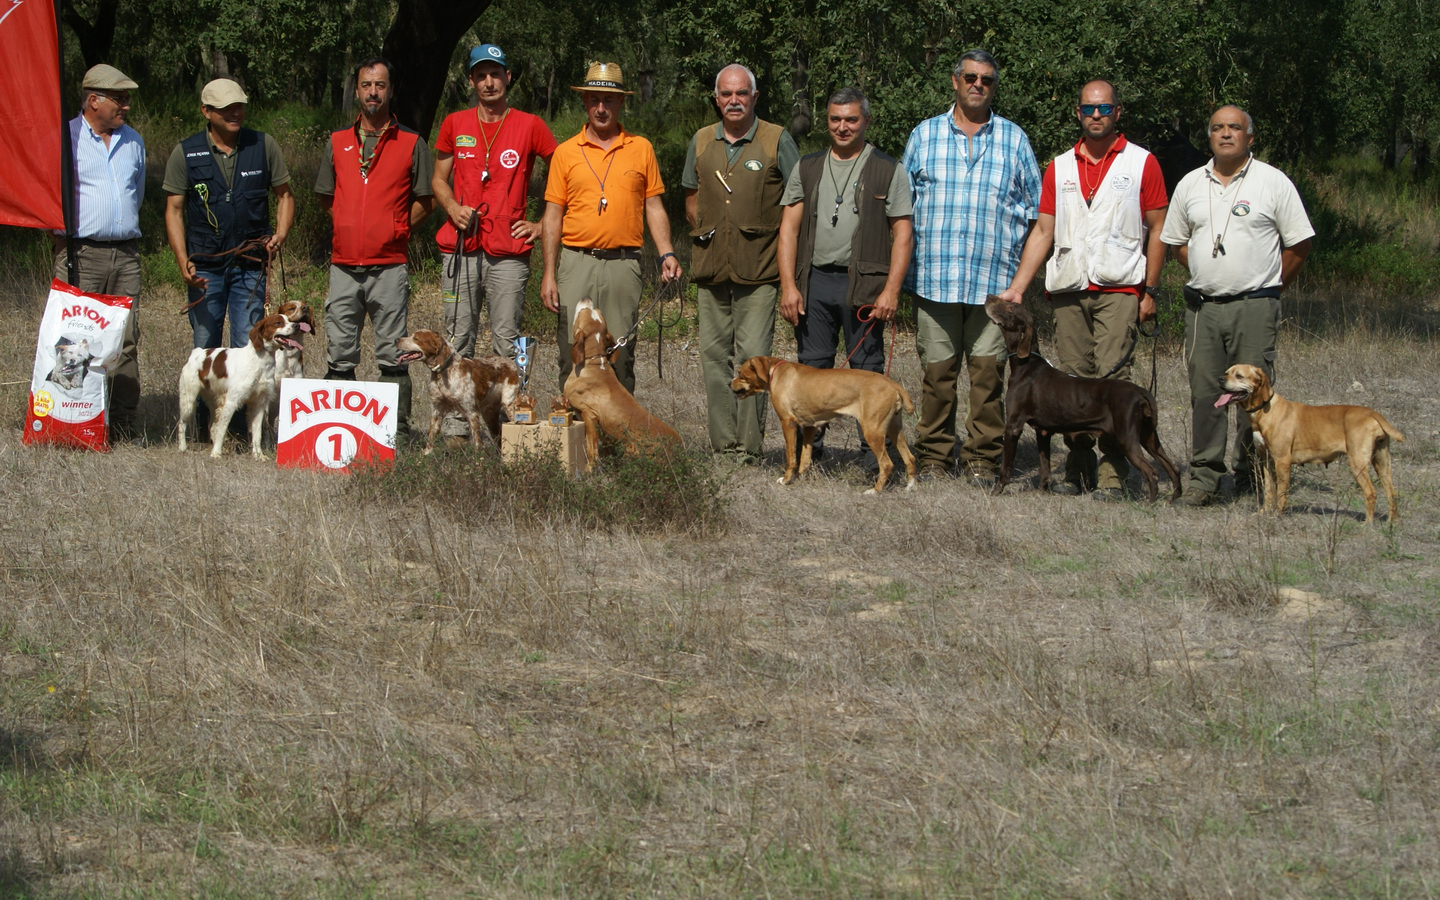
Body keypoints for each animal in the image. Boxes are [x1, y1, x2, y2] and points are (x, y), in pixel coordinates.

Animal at [180, 313, 303, 455]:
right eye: (278, 322)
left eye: (289, 320)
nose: (297, 326)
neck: (260, 361)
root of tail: (197, 352)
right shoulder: (231, 402)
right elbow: (222, 429)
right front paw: (216, 454)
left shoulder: (259, 403)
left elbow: (257, 433)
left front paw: (258, 455)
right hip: (188, 400)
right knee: (182, 423)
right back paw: (182, 447)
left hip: (213, 401)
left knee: (212, 425)